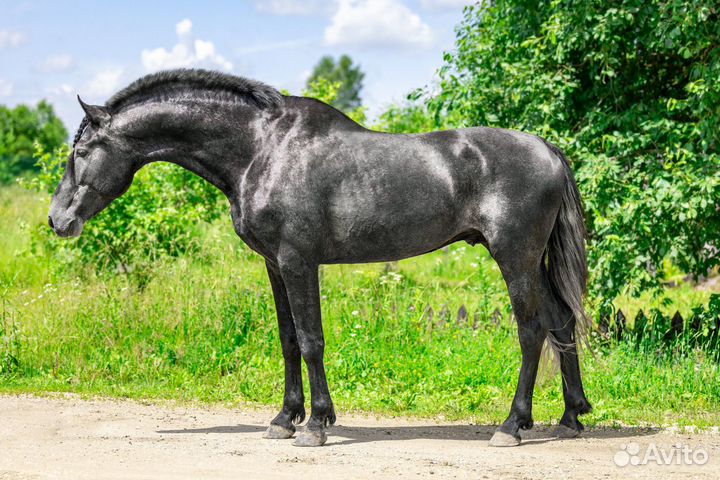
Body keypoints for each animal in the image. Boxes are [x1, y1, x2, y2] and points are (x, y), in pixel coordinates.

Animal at [49, 69, 592, 448]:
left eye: (81, 151)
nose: (58, 220)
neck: (261, 149)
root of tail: (548, 149)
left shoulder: (297, 261)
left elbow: (312, 341)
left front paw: (316, 424)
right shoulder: (273, 264)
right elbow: (289, 340)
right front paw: (283, 419)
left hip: (515, 259)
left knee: (532, 330)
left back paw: (512, 426)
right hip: (533, 262)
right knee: (562, 321)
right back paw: (571, 417)